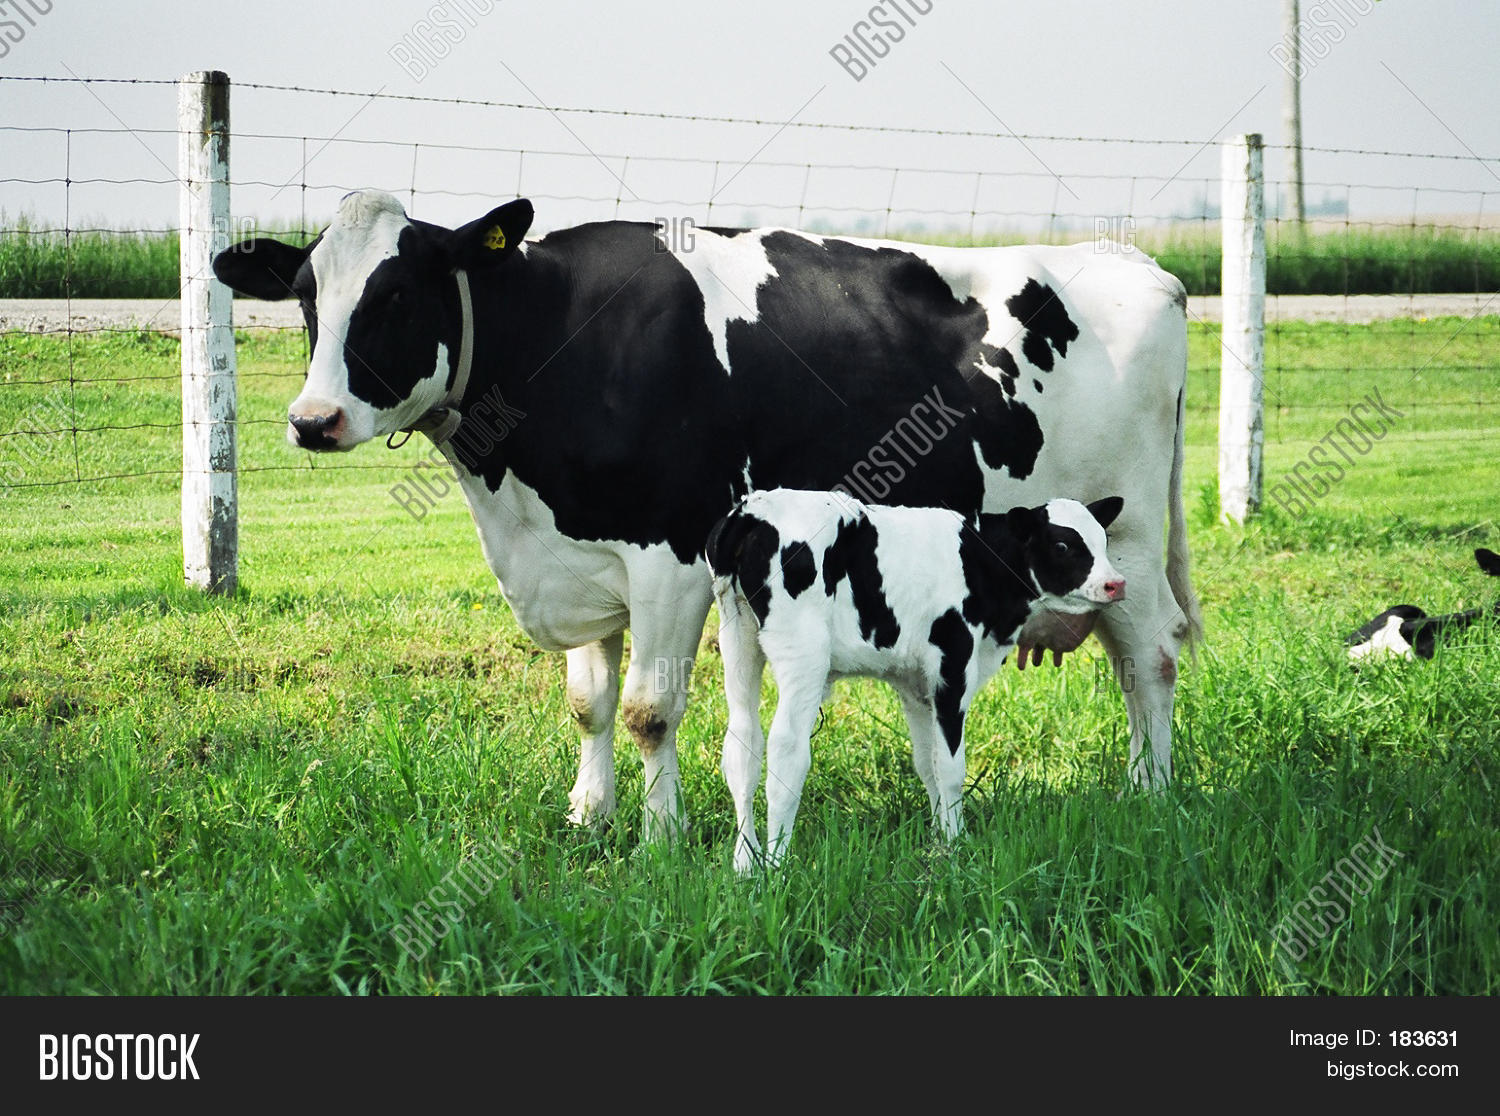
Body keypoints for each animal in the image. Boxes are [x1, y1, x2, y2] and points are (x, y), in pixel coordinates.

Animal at [706, 488, 1125, 871]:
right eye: (1062, 544)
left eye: (1103, 540)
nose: (1115, 584)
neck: (979, 562)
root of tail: (752, 508)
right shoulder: (952, 664)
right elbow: (952, 768)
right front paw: (956, 845)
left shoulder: (914, 685)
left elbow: (928, 762)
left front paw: (939, 840)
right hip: (802, 652)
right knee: (786, 749)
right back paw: (777, 864)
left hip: (738, 638)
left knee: (742, 744)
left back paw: (745, 864)